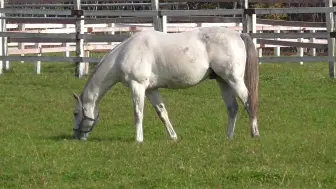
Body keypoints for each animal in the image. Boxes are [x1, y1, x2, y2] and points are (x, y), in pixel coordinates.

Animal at [71, 26, 260, 142]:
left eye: (75, 113)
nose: (75, 137)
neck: (125, 53)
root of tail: (238, 35)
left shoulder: (137, 86)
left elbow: (138, 113)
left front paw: (138, 139)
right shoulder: (151, 90)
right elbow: (162, 113)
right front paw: (173, 137)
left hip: (234, 80)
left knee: (249, 102)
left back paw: (254, 133)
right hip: (223, 82)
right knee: (233, 108)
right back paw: (229, 137)